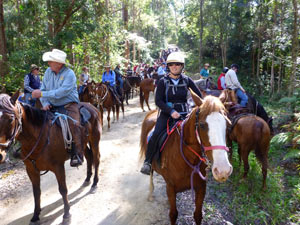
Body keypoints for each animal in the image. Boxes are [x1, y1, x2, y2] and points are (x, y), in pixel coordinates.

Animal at [0, 91, 102, 223]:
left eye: (11, 118)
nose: (0, 154)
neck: (38, 137)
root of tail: (92, 107)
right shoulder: (31, 170)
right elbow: (36, 192)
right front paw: (36, 215)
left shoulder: (58, 167)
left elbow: (63, 190)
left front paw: (66, 214)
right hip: (83, 145)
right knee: (89, 157)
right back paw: (87, 179)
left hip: (95, 140)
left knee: (96, 159)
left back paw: (94, 183)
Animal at [139, 91, 233, 225]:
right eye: (202, 125)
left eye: (229, 125)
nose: (222, 170)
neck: (187, 158)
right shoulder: (171, 188)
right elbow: (173, 214)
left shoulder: (201, 188)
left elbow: (198, 215)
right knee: (150, 173)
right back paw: (150, 192)